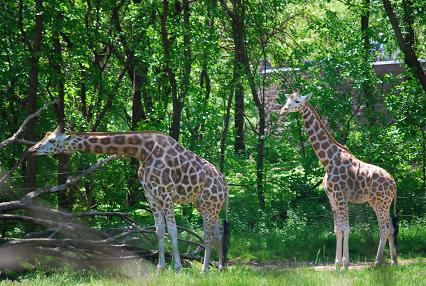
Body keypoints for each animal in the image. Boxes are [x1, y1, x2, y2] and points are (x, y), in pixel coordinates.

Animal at [28, 125, 230, 272]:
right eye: (44, 136)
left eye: (52, 140)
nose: (32, 149)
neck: (142, 151)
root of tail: (225, 183)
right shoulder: (151, 196)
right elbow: (159, 231)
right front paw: (160, 267)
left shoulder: (165, 194)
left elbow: (172, 230)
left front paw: (178, 267)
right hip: (207, 204)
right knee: (218, 231)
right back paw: (220, 267)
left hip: (208, 203)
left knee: (208, 233)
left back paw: (205, 269)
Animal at [282, 91, 398, 268]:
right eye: (287, 100)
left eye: (296, 101)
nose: (283, 110)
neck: (327, 160)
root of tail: (394, 183)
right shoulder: (331, 197)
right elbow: (337, 229)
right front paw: (337, 264)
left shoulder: (341, 195)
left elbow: (346, 228)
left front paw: (345, 264)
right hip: (381, 202)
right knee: (390, 228)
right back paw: (393, 261)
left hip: (380, 202)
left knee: (383, 228)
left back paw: (378, 262)